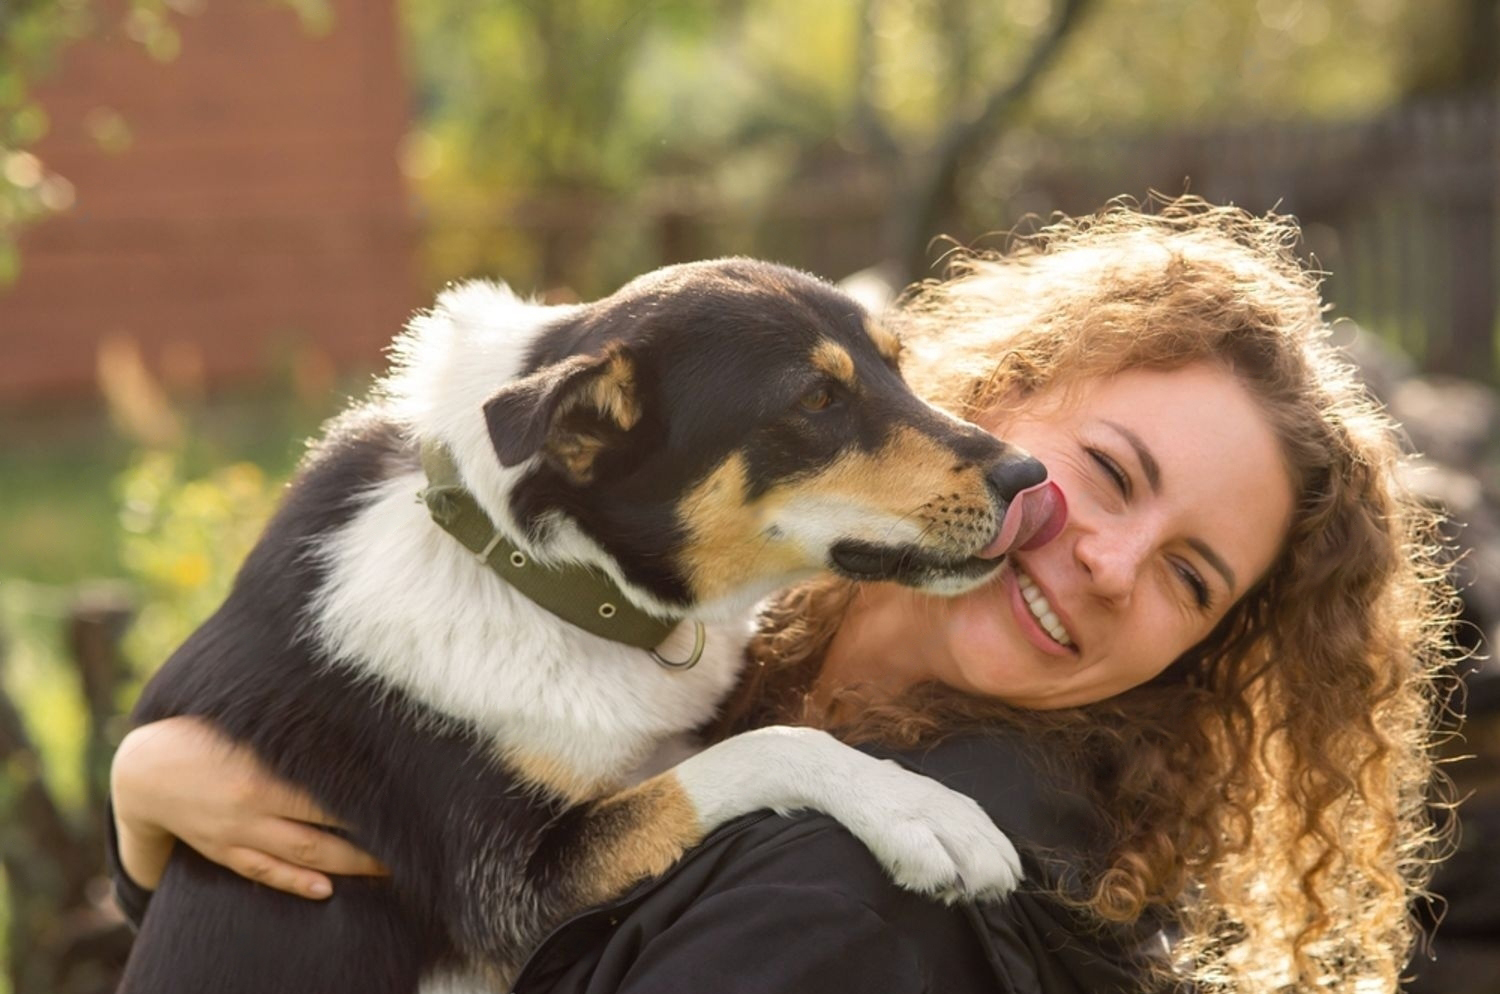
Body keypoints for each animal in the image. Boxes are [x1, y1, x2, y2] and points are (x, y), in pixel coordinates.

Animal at [114, 260, 1044, 994]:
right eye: (817, 398)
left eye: (898, 367)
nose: (1028, 474)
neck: (542, 576)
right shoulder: (513, 894)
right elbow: (765, 747)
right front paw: (919, 811)